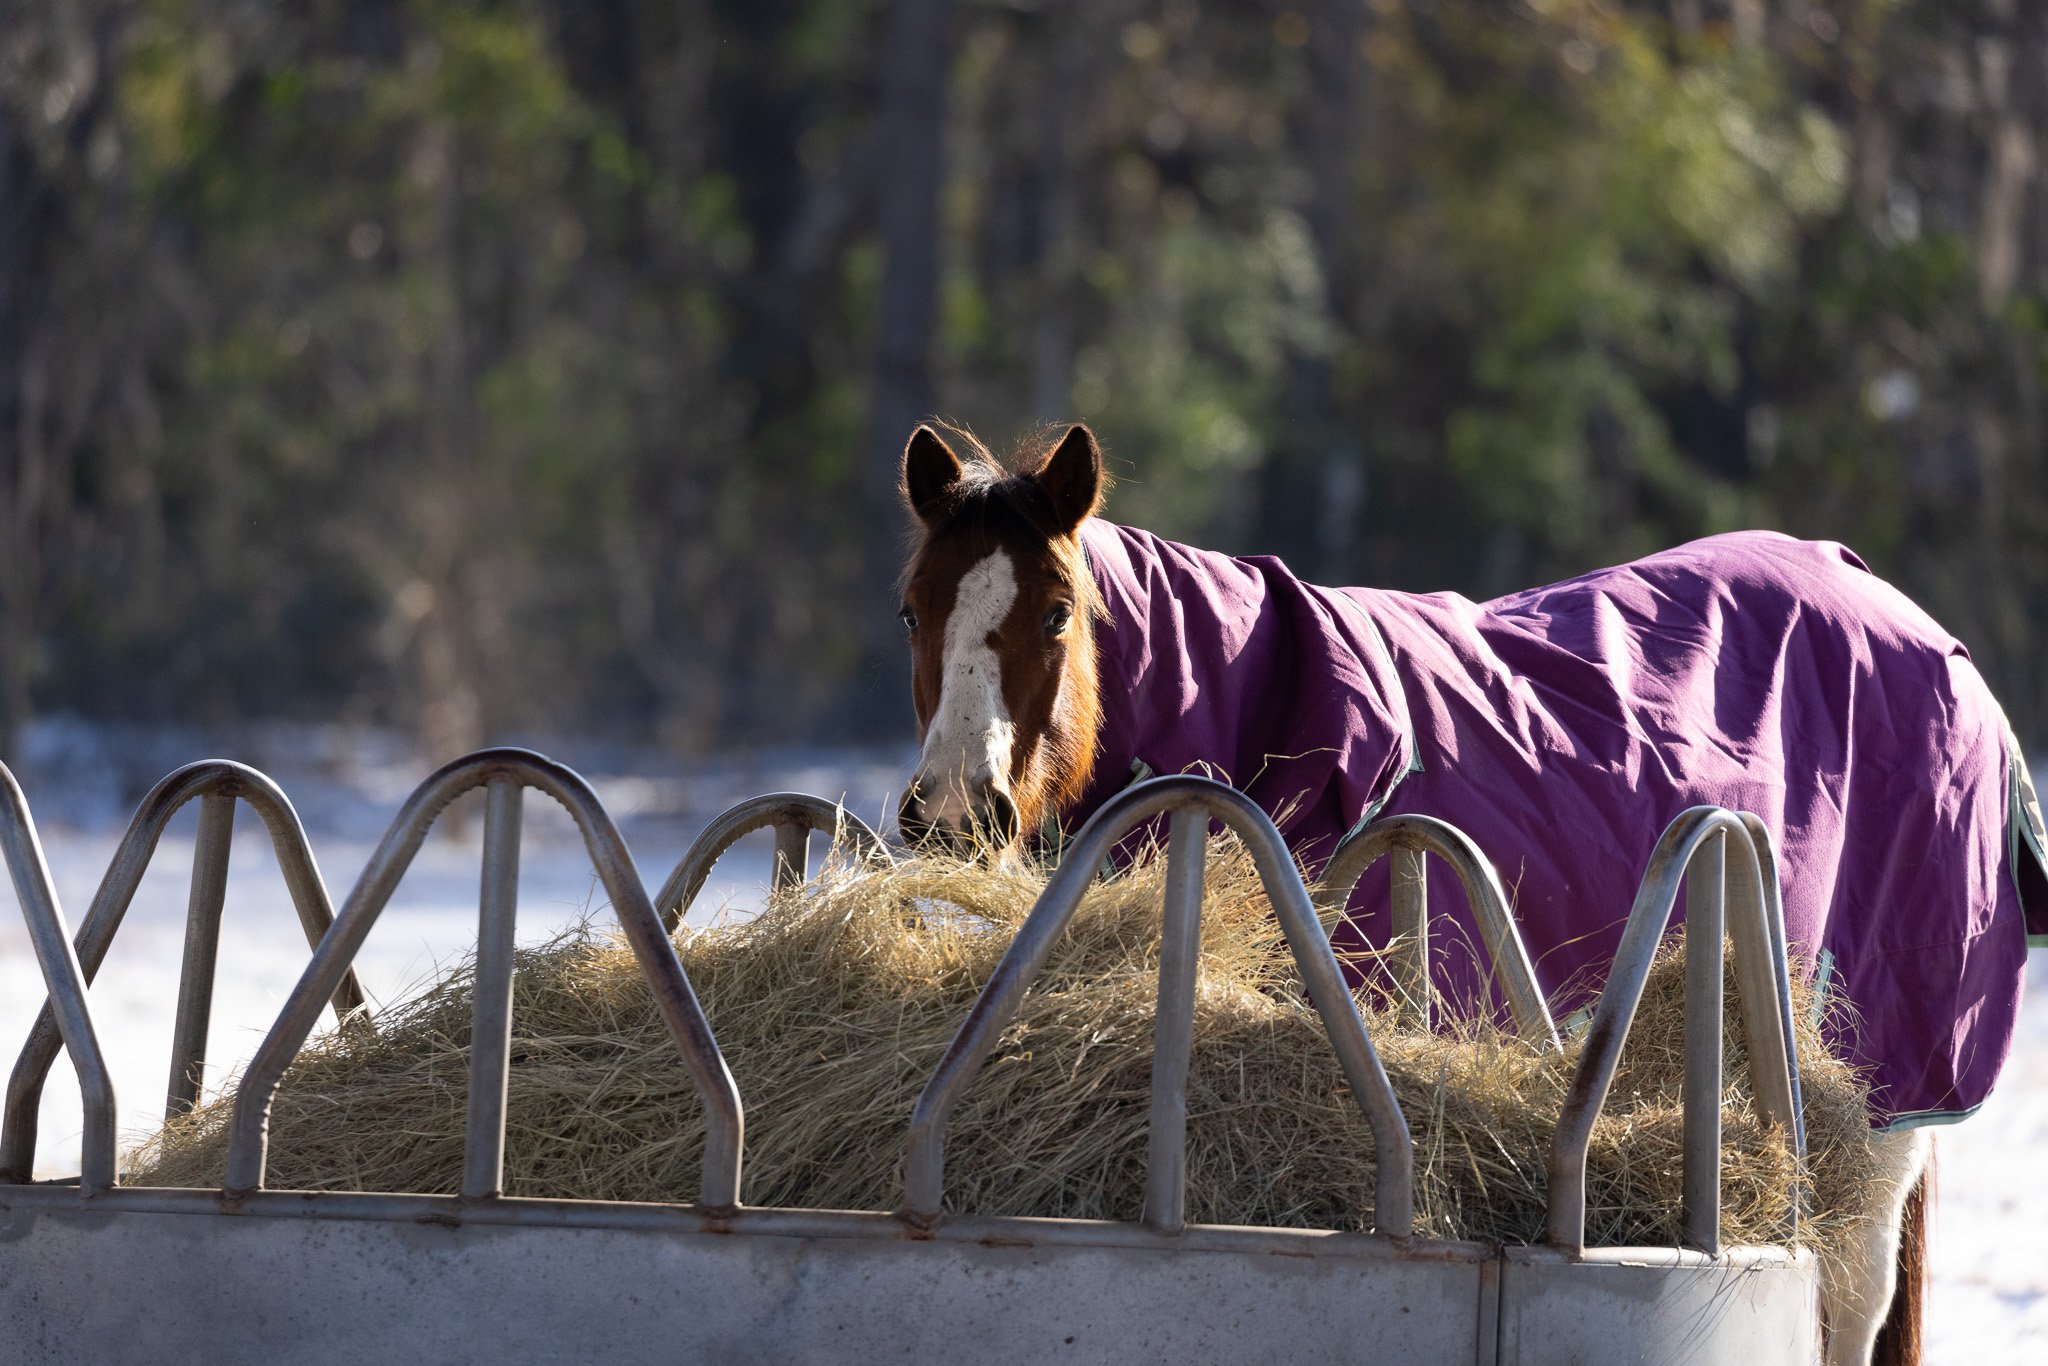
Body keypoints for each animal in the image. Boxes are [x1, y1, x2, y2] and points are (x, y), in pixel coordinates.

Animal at [892, 420, 2048, 1366]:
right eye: (912, 607)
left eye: (1056, 612)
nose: (953, 808)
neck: (1272, 700)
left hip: (1886, 1112)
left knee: (1850, 1298)